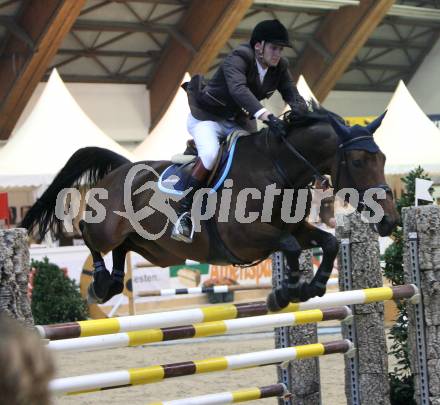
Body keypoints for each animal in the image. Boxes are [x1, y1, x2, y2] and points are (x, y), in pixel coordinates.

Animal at [21, 105, 398, 310]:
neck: (277, 167)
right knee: (89, 234)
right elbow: (290, 247)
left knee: (123, 248)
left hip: (157, 250)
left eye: (383, 158)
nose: (390, 221)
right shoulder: (245, 238)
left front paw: (310, 287)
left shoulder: (295, 227)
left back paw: (109, 284)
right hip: (108, 227)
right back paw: (98, 284)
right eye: (359, 161)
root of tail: (123, 167)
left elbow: (329, 242)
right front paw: (287, 291)